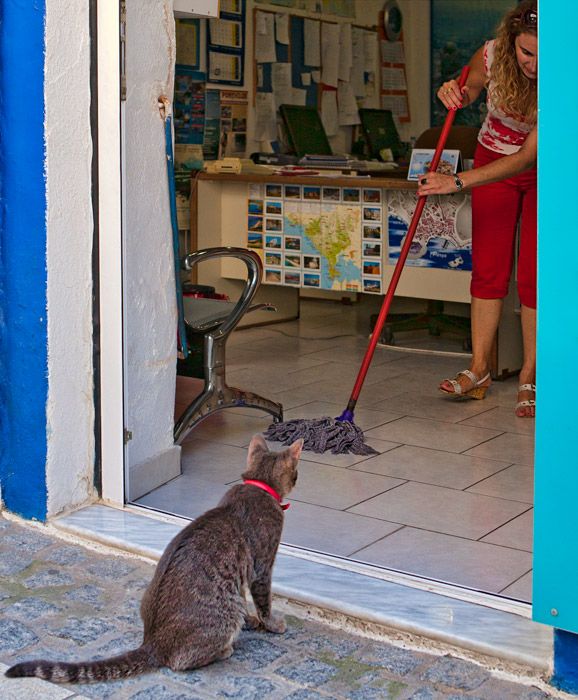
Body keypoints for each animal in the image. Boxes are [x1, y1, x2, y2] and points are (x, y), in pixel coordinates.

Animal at [5, 434, 302, 680]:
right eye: (296, 472)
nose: (298, 478)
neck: (258, 485)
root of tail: (152, 642)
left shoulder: (241, 573)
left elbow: (243, 596)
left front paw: (250, 619)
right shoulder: (262, 566)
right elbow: (263, 602)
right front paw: (271, 624)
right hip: (220, 619)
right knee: (181, 661)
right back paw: (224, 649)